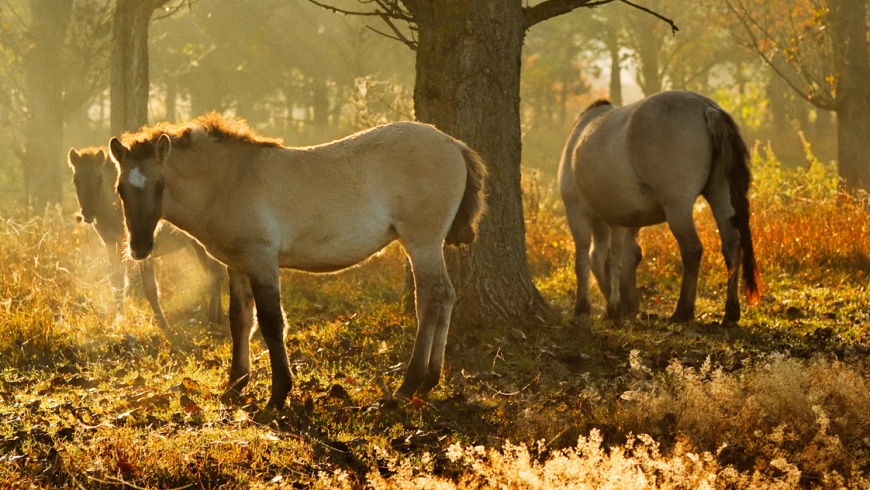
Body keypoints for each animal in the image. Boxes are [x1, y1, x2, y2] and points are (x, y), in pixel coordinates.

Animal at [106, 115, 488, 410]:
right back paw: (430, 380)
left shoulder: (262, 260)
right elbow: (240, 321)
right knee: (447, 294)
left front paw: (278, 395)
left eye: (160, 185)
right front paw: (235, 386)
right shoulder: (238, 265)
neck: (231, 181)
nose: (139, 247)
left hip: (421, 242)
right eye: (120, 189)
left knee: (430, 298)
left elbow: (272, 323)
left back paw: (408, 385)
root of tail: (452, 143)